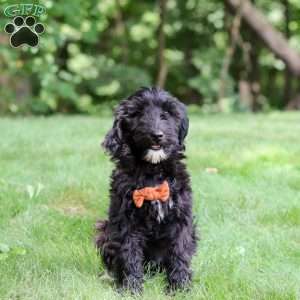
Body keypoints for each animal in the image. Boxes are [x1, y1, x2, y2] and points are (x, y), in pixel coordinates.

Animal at [96, 86, 198, 292]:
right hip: (104, 232)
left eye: (166, 114)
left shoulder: (181, 218)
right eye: (138, 114)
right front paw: (131, 288)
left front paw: (180, 287)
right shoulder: (126, 221)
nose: (157, 135)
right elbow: (129, 252)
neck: (152, 170)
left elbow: (180, 250)